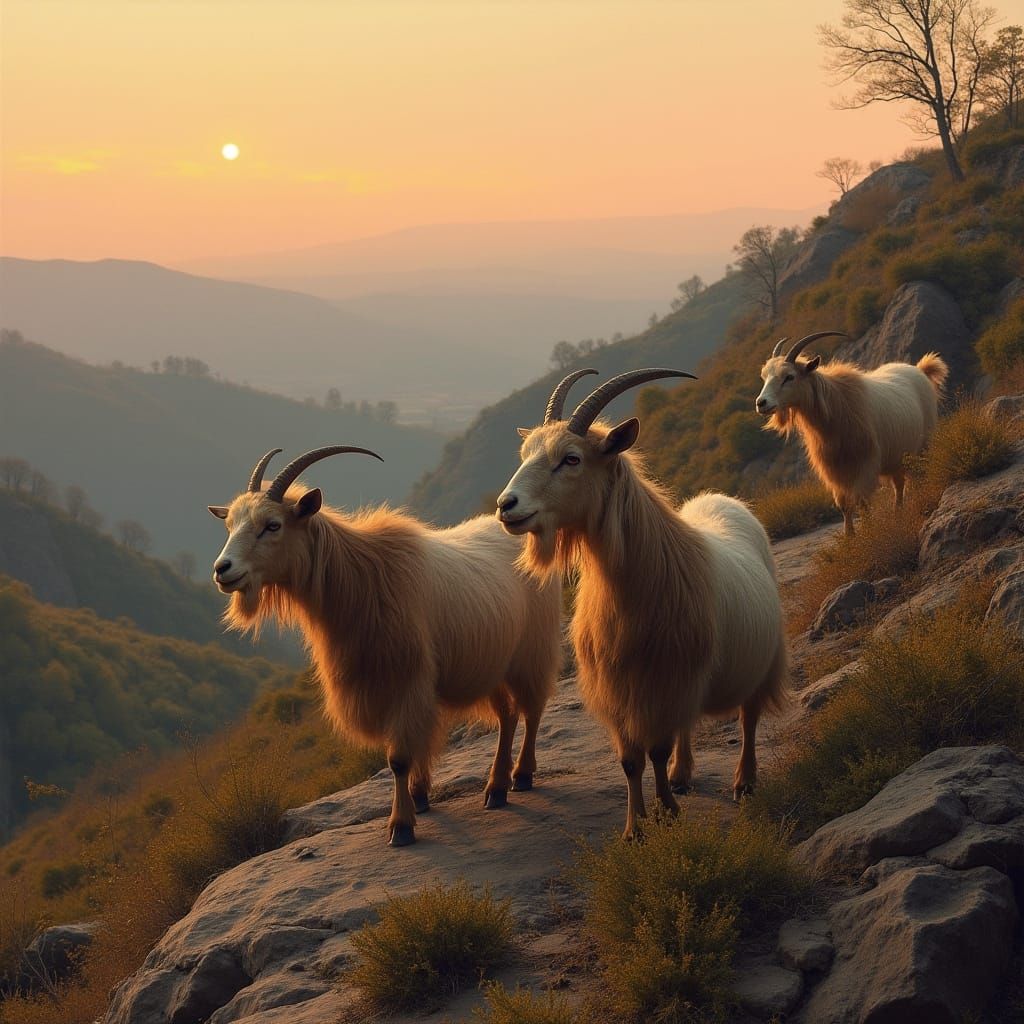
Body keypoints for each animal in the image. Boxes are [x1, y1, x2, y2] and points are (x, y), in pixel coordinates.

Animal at [208, 446, 561, 847]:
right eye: (230, 525)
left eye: (272, 525)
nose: (223, 569)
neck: (362, 578)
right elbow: (414, 746)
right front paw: (420, 797)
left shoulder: (407, 679)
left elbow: (399, 757)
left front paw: (401, 826)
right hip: (491, 662)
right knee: (507, 715)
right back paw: (496, 788)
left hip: (530, 650)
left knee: (532, 708)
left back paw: (521, 777)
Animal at [495, 369, 788, 837]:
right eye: (526, 453)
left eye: (571, 459)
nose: (507, 506)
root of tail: (723, 500)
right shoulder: (622, 686)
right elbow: (631, 760)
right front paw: (635, 828)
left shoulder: (667, 680)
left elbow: (656, 749)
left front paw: (668, 813)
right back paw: (683, 774)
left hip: (760, 660)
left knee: (749, 718)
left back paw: (744, 781)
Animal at [755, 332, 948, 535]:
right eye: (764, 376)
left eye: (789, 376)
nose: (761, 403)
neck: (834, 410)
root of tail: (920, 370)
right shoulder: (835, 470)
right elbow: (843, 505)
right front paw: (849, 536)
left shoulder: (865, 464)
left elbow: (862, 502)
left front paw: (868, 533)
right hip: (897, 456)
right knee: (899, 484)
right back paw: (898, 514)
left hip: (923, 446)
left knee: (917, 477)